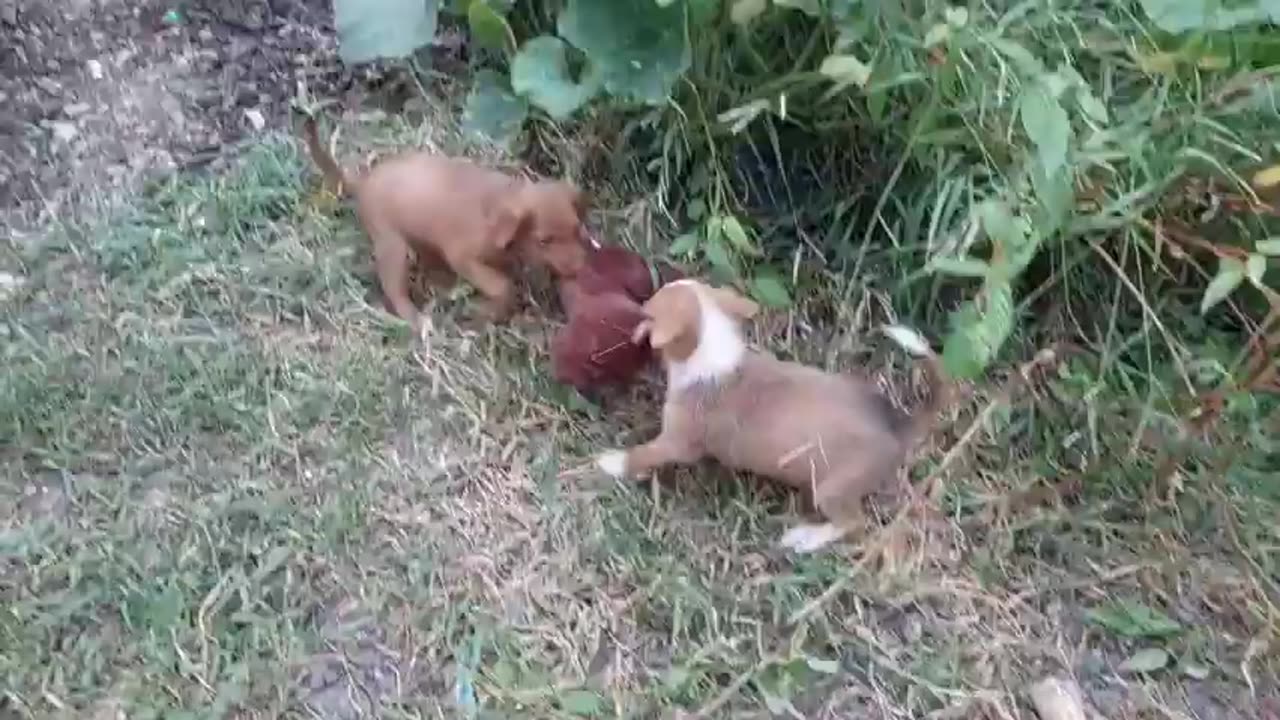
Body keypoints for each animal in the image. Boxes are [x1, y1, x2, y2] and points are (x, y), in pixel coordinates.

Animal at [304, 114, 588, 322]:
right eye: (544, 241)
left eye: (577, 230)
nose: (579, 268)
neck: (498, 204)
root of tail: (364, 182)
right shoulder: (462, 256)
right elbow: (501, 286)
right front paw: (489, 310)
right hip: (392, 245)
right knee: (393, 286)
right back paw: (414, 319)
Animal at [593, 278, 947, 550]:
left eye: (651, 306)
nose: (639, 301)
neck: (711, 351)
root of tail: (898, 422)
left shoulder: (678, 443)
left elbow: (644, 453)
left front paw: (612, 462)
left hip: (832, 489)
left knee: (852, 523)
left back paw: (806, 539)